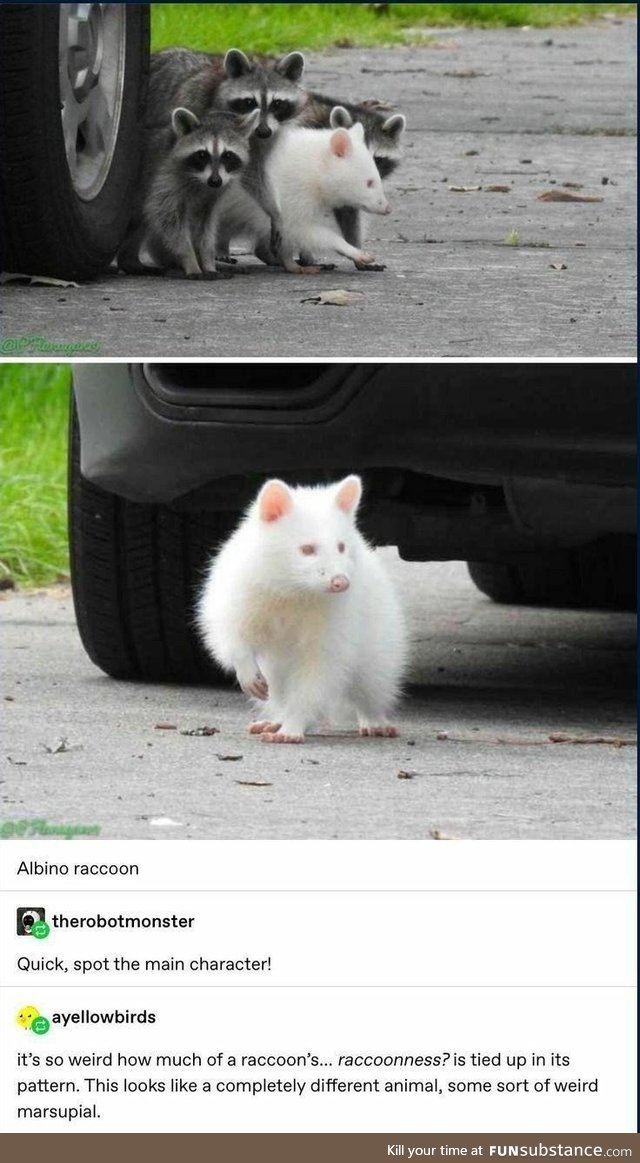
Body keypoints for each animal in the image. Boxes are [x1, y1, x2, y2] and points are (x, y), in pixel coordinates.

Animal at [117, 107, 258, 277]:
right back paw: (130, 261)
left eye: (228, 155)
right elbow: (167, 218)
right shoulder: (165, 178)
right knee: (141, 218)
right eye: (202, 154)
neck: (201, 181)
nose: (215, 181)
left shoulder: (215, 193)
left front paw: (208, 261)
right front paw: (190, 260)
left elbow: (205, 226)